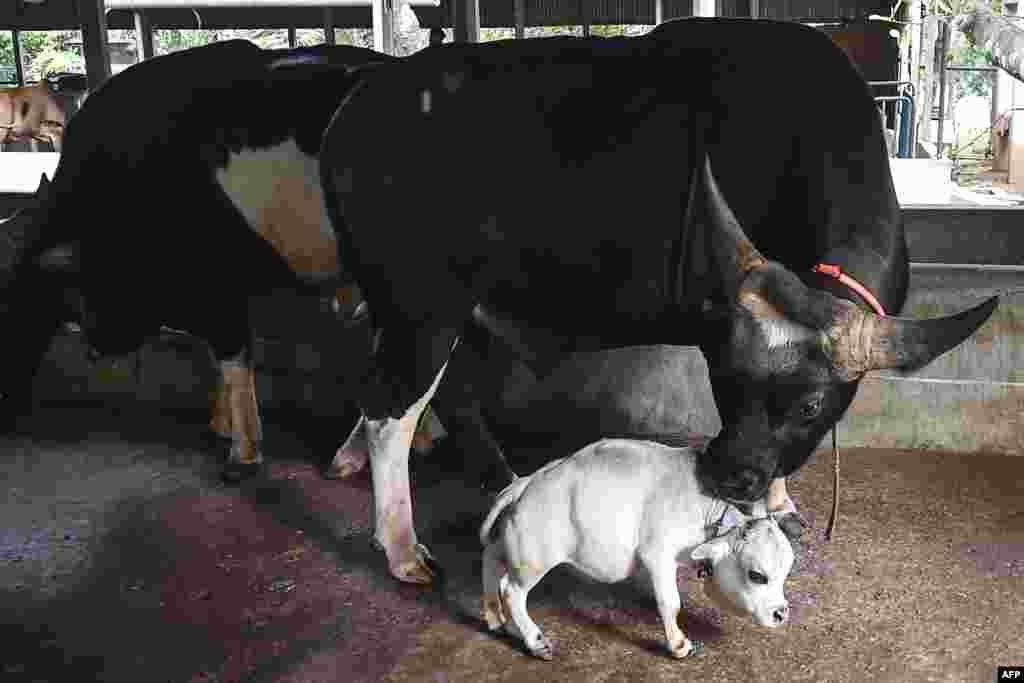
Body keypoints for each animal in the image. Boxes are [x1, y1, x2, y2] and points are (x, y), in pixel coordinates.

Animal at [321, 18, 999, 585]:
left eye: (810, 405)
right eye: (724, 378)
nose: (724, 475)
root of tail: (360, 102)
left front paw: (780, 502)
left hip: (448, 310)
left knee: (442, 392)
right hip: (423, 306)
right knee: (392, 409)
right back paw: (402, 547)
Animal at [481, 440, 798, 659]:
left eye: (785, 573)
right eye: (757, 575)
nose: (782, 615)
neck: (703, 508)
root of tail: (525, 484)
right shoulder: (658, 555)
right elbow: (671, 603)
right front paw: (678, 645)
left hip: (510, 544)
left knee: (489, 561)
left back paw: (494, 617)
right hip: (534, 558)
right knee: (511, 590)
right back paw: (536, 642)